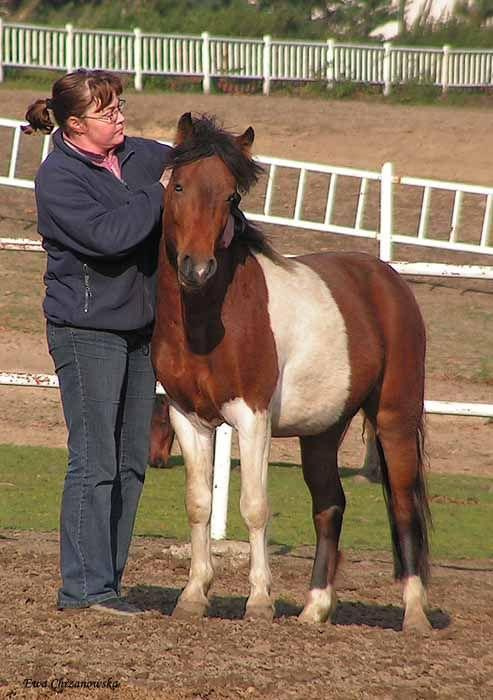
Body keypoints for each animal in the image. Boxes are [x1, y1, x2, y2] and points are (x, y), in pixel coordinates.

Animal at [151, 113, 430, 628]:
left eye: (231, 196)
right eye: (178, 185)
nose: (197, 269)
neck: (209, 319)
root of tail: (388, 280)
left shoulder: (252, 417)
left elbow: (254, 506)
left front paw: (260, 601)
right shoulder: (188, 416)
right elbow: (199, 504)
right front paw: (194, 594)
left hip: (394, 419)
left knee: (403, 505)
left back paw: (415, 611)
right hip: (322, 431)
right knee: (330, 504)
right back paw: (315, 607)